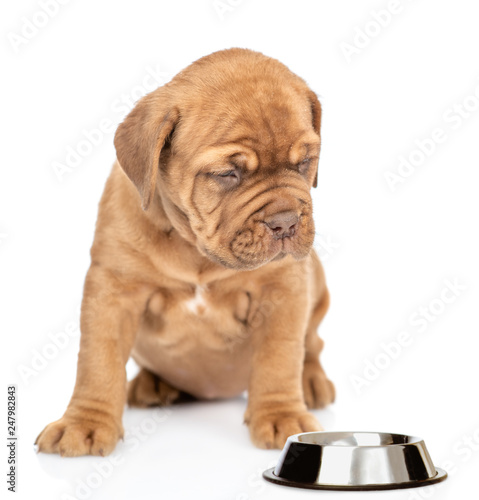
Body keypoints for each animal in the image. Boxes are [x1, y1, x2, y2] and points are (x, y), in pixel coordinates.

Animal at [35, 47, 336, 458]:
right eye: (228, 174)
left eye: (304, 162)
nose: (287, 222)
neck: (195, 249)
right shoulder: (113, 289)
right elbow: (98, 360)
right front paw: (85, 423)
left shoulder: (283, 289)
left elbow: (280, 355)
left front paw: (282, 415)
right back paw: (151, 385)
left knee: (313, 345)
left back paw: (311, 382)